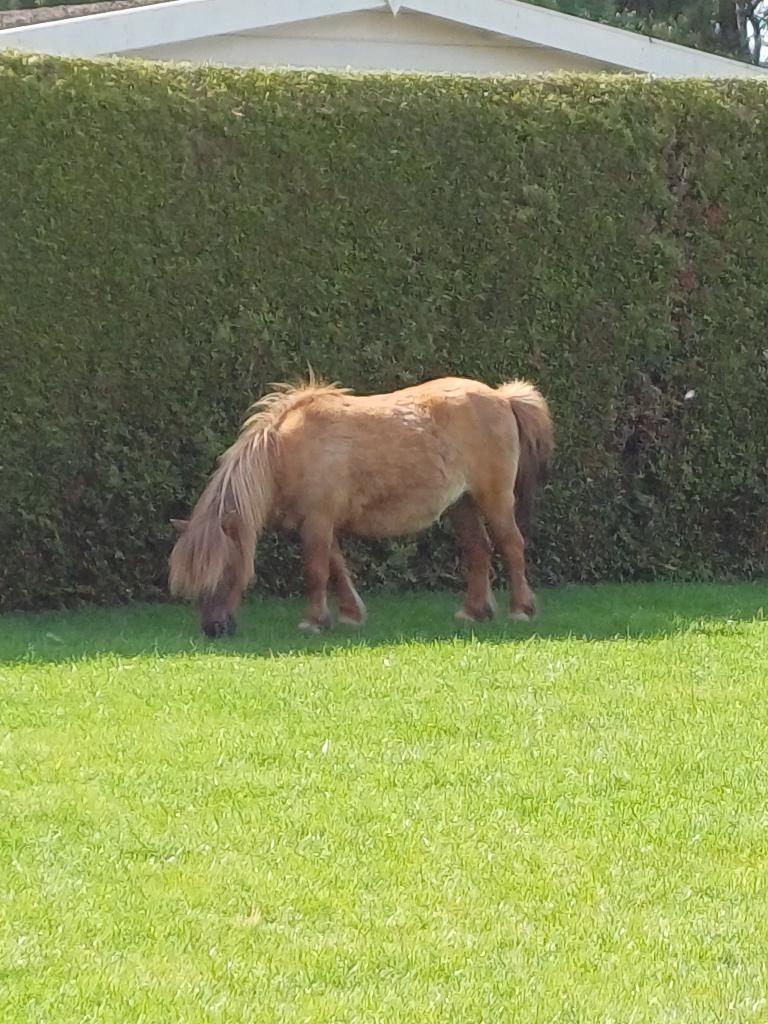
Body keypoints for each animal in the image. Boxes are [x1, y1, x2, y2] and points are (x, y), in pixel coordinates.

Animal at [169, 376, 553, 638]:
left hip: (494, 498)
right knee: (478, 550)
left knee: (511, 546)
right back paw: (473, 612)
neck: (286, 451)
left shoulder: (318, 522)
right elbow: (337, 569)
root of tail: (503, 397)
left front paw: (313, 621)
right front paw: (350, 614)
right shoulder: (319, 523)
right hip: (463, 504)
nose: (214, 628)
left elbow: (316, 572)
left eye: (227, 569)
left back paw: (521, 609)